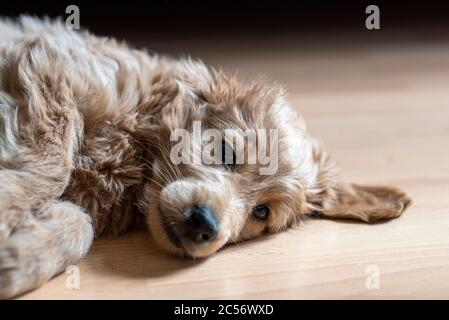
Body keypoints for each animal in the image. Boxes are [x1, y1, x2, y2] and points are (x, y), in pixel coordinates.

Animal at [0, 17, 410, 298]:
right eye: (226, 151)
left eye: (261, 213)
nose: (205, 226)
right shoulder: (45, 66)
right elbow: (52, 165)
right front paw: (8, 212)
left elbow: (80, 223)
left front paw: (22, 254)